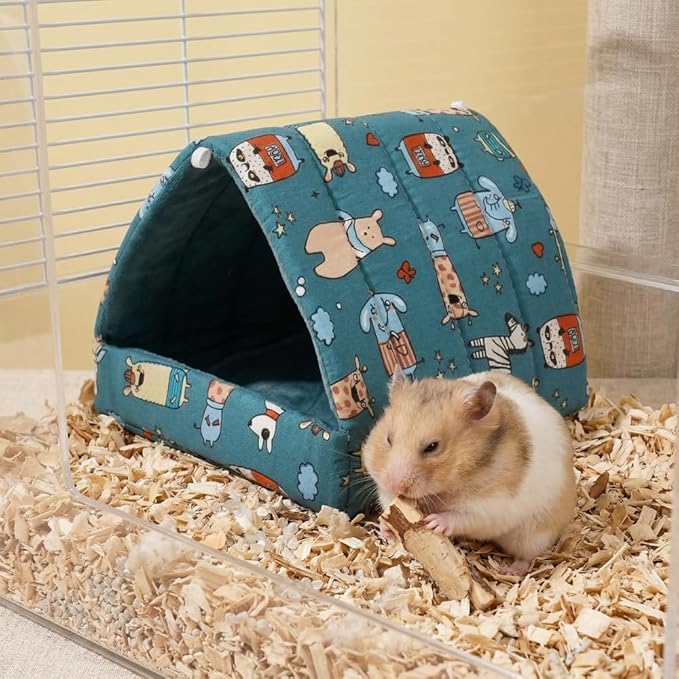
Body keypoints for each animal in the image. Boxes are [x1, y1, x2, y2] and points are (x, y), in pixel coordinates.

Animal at [361, 369, 576, 575]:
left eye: (432, 446)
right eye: (388, 439)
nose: (396, 486)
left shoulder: (493, 505)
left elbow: (462, 517)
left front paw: (434, 523)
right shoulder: (383, 488)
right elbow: (388, 502)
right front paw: (385, 528)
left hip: (534, 535)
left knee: (527, 555)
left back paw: (511, 571)